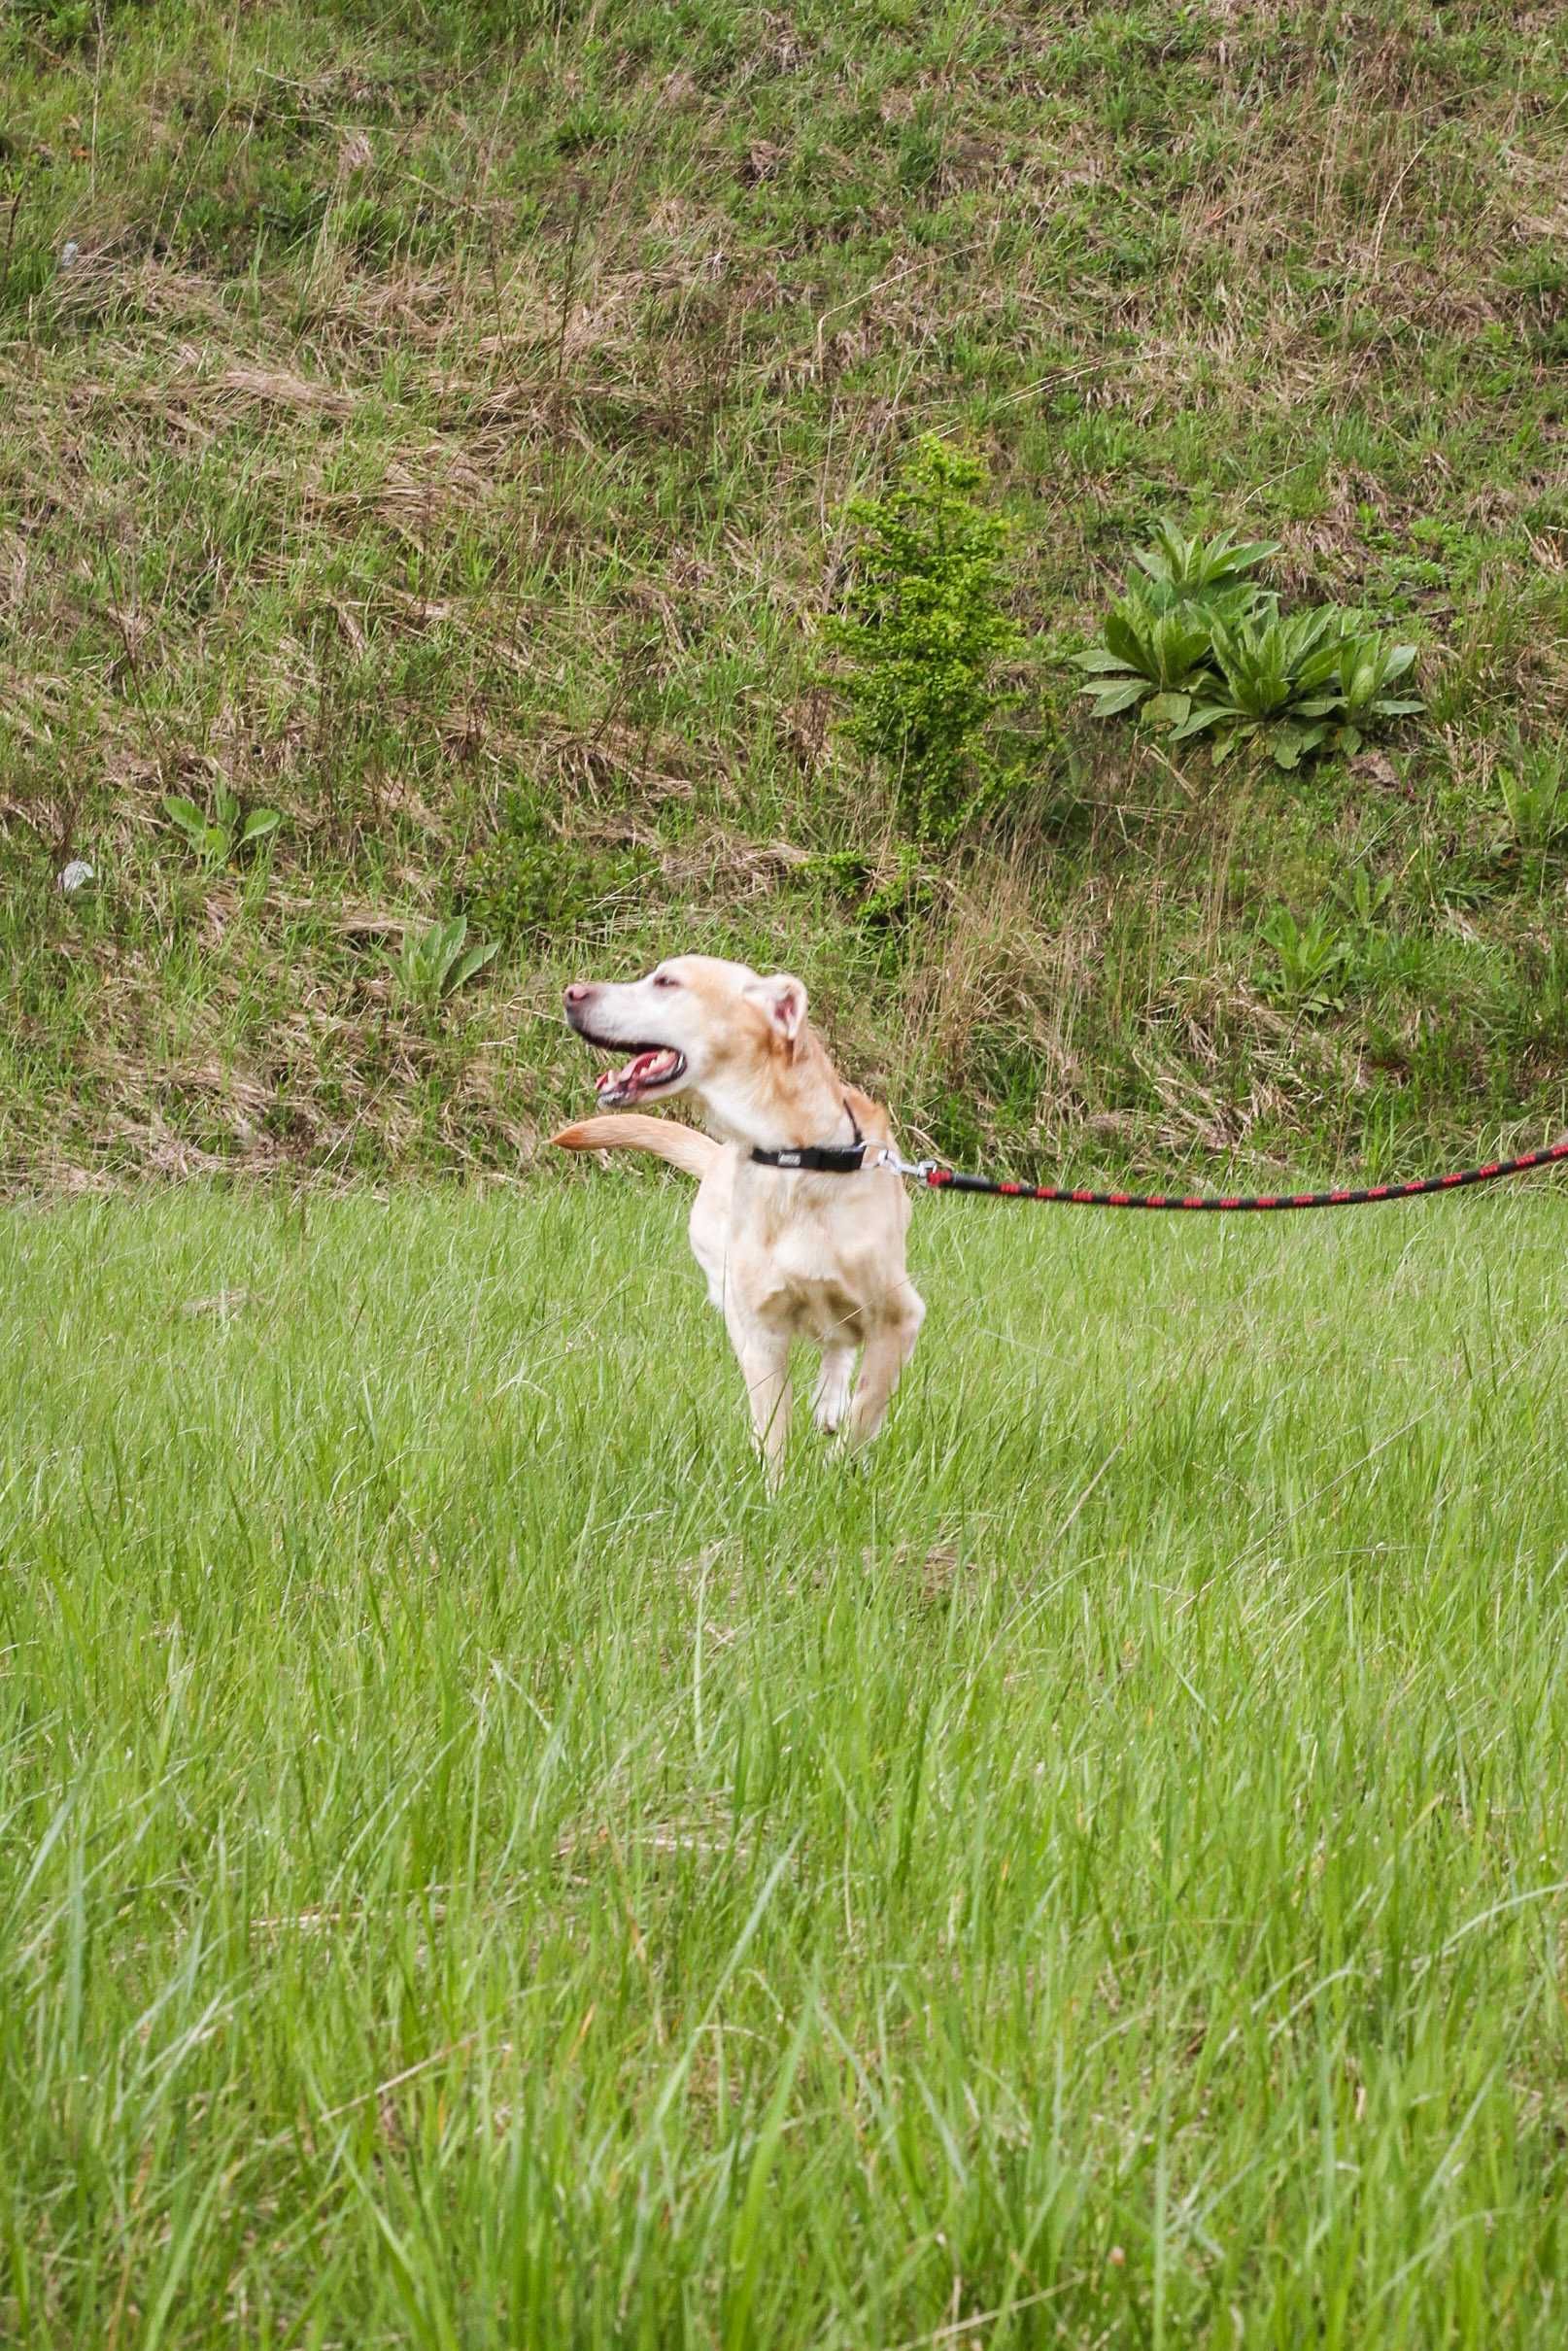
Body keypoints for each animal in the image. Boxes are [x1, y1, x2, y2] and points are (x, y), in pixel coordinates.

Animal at [552, 949, 926, 1467]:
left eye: (666, 982)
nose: (571, 992)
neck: (793, 1160)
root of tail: (716, 1157)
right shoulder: (760, 1331)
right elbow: (772, 1432)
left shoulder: (899, 1315)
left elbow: (866, 1409)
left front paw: (839, 1468)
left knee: (841, 1346)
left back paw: (831, 1401)